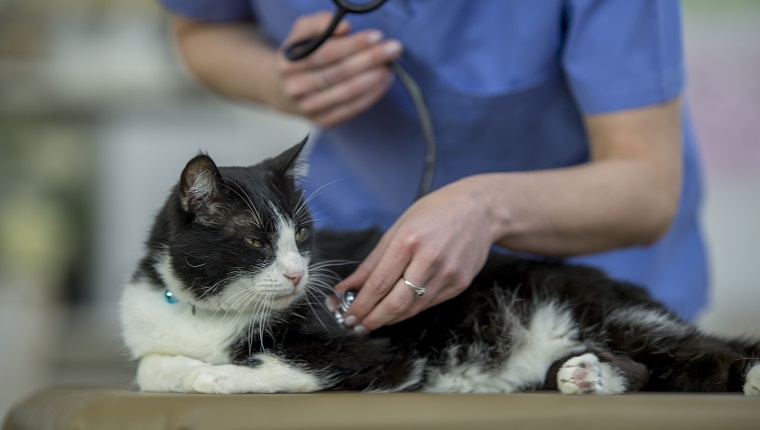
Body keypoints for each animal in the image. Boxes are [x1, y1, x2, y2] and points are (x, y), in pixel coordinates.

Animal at [119, 139, 760, 394]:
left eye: (300, 235)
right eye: (255, 240)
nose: (301, 273)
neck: (210, 315)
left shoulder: (373, 351)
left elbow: (290, 366)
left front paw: (217, 376)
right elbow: (150, 367)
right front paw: (186, 370)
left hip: (605, 313)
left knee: (699, 355)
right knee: (654, 369)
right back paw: (586, 377)